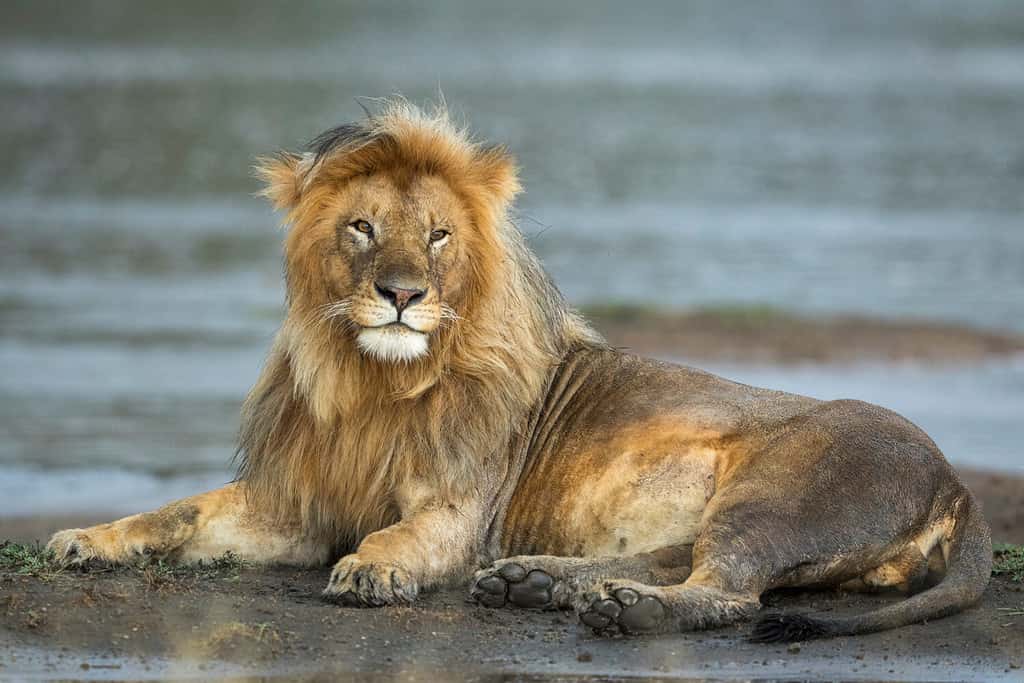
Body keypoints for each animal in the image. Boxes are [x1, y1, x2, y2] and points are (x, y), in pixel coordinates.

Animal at [44, 101, 987, 643]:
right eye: (361, 227)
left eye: (437, 235)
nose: (400, 294)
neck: (371, 384)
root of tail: (957, 482)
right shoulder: (301, 501)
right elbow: (177, 512)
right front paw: (86, 537)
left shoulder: (459, 509)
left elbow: (399, 537)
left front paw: (373, 571)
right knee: (683, 559)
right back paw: (534, 583)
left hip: (780, 490)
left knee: (729, 591)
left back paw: (618, 609)